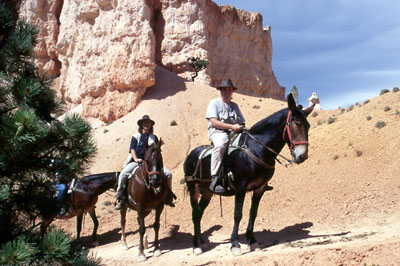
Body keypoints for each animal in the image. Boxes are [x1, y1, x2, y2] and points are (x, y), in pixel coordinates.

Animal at [184, 93, 312, 256]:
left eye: (308, 126)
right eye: (296, 123)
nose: (302, 156)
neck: (256, 148)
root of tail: (191, 155)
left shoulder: (260, 188)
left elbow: (253, 212)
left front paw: (252, 241)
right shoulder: (240, 187)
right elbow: (238, 214)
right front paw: (235, 244)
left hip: (207, 192)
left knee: (199, 213)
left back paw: (202, 242)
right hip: (193, 189)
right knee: (195, 214)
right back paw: (196, 245)